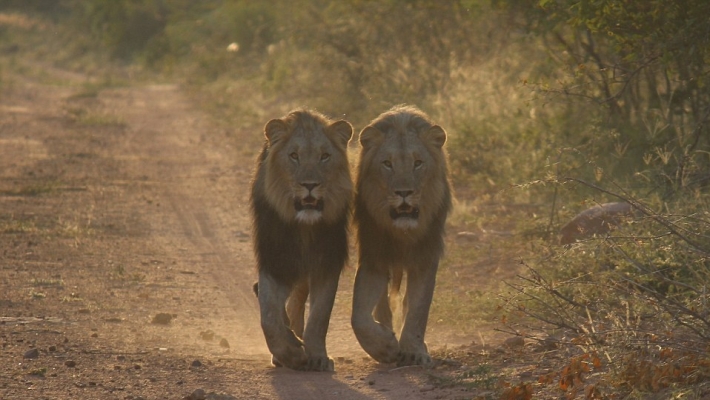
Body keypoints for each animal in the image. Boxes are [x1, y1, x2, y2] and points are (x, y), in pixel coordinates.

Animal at [252, 109, 354, 372]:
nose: (310, 185)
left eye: (325, 156)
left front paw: (317, 356)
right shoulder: (275, 262)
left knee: (297, 300)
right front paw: (289, 354)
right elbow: (269, 318)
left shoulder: (327, 262)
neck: (304, 227)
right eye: (294, 156)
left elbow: (320, 316)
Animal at [354, 105, 454, 366]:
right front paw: (384, 347)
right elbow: (359, 315)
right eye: (387, 163)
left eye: (418, 163)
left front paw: (414, 350)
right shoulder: (374, 256)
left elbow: (418, 308)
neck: (403, 231)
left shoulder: (425, 255)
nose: (404, 193)